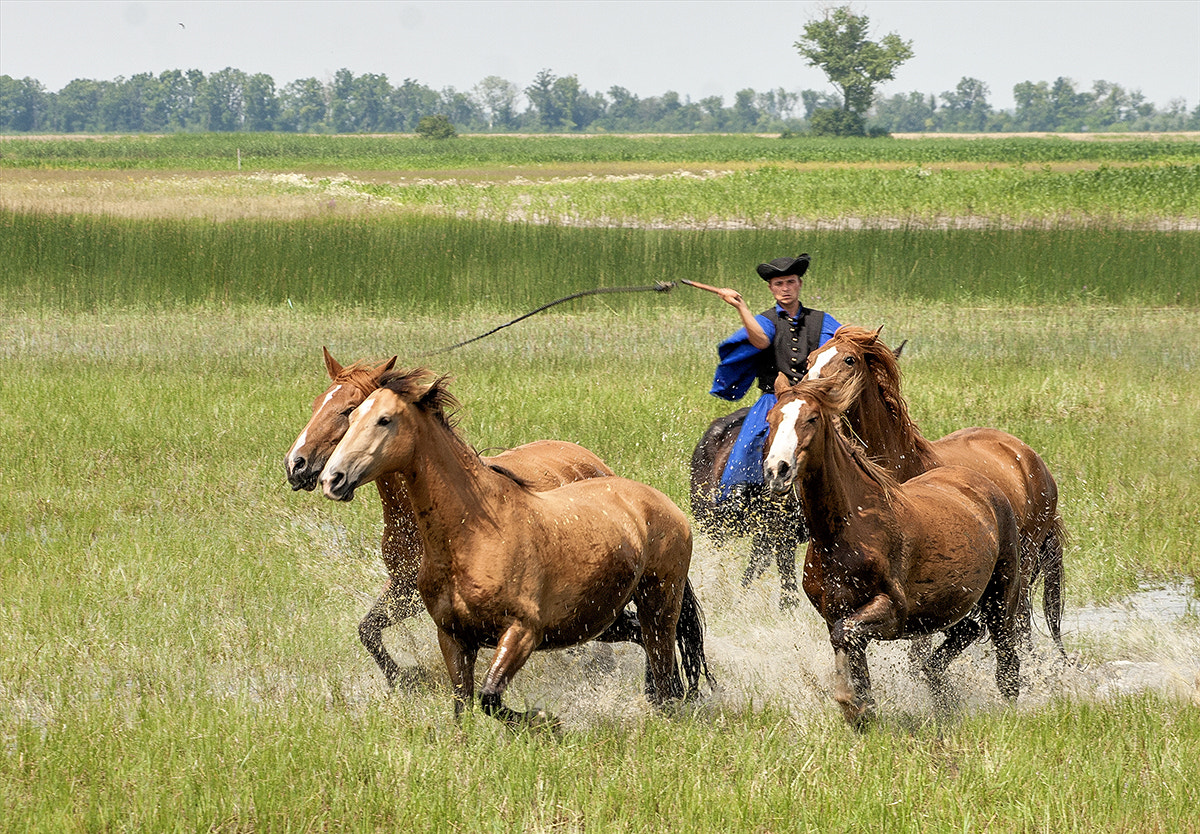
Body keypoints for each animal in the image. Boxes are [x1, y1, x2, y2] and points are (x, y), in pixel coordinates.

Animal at [285, 348, 657, 686]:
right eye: (317, 404)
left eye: (348, 410)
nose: (295, 464)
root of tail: (592, 460)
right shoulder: (402, 587)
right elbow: (368, 629)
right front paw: (404, 679)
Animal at [321, 369, 710, 729]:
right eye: (351, 417)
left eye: (384, 419)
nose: (331, 479)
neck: (475, 534)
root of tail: (664, 505)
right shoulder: (453, 636)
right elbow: (462, 707)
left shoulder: (522, 631)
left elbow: (490, 696)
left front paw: (545, 721)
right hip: (599, 618)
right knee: (646, 645)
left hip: (659, 603)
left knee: (663, 665)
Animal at [763, 374, 1017, 729]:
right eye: (770, 420)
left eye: (811, 419)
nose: (778, 470)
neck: (846, 532)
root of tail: (984, 484)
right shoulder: (835, 612)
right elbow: (850, 650)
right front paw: (860, 711)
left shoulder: (891, 610)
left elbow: (846, 636)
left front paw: (847, 701)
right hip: (959, 603)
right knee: (964, 634)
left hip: (1001, 595)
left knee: (1008, 662)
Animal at [801, 328, 1065, 657]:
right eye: (810, 359)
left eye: (849, 359)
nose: (807, 391)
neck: (898, 465)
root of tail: (1030, 457)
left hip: (1023, 563)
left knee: (1020, 620)